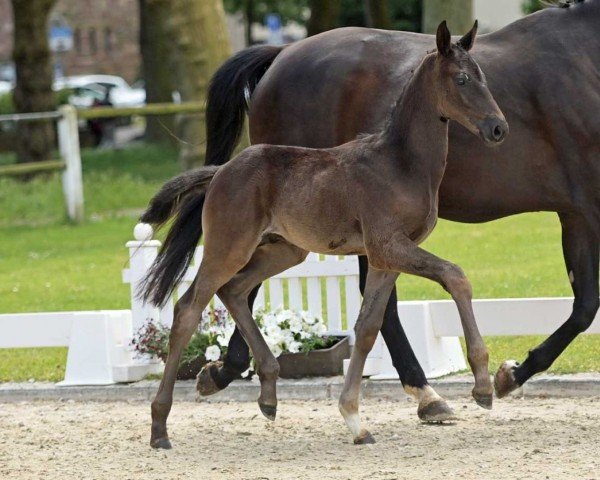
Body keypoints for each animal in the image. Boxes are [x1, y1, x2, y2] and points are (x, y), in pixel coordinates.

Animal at [143, 21, 508, 450]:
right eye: (462, 78)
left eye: (483, 77)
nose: (498, 128)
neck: (400, 162)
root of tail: (220, 172)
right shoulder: (389, 245)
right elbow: (456, 277)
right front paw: (483, 387)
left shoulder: (386, 258)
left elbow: (366, 329)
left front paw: (354, 420)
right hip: (229, 246)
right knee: (188, 310)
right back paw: (159, 428)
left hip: (284, 251)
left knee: (233, 290)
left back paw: (268, 395)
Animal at [198, 0, 600, 412]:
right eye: (461, 80)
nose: (498, 128)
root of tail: (281, 54)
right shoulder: (588, 208)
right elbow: (583, 307)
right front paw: (506, 377)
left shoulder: (576, 213)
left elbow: (584, 305)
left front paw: (509, 375)